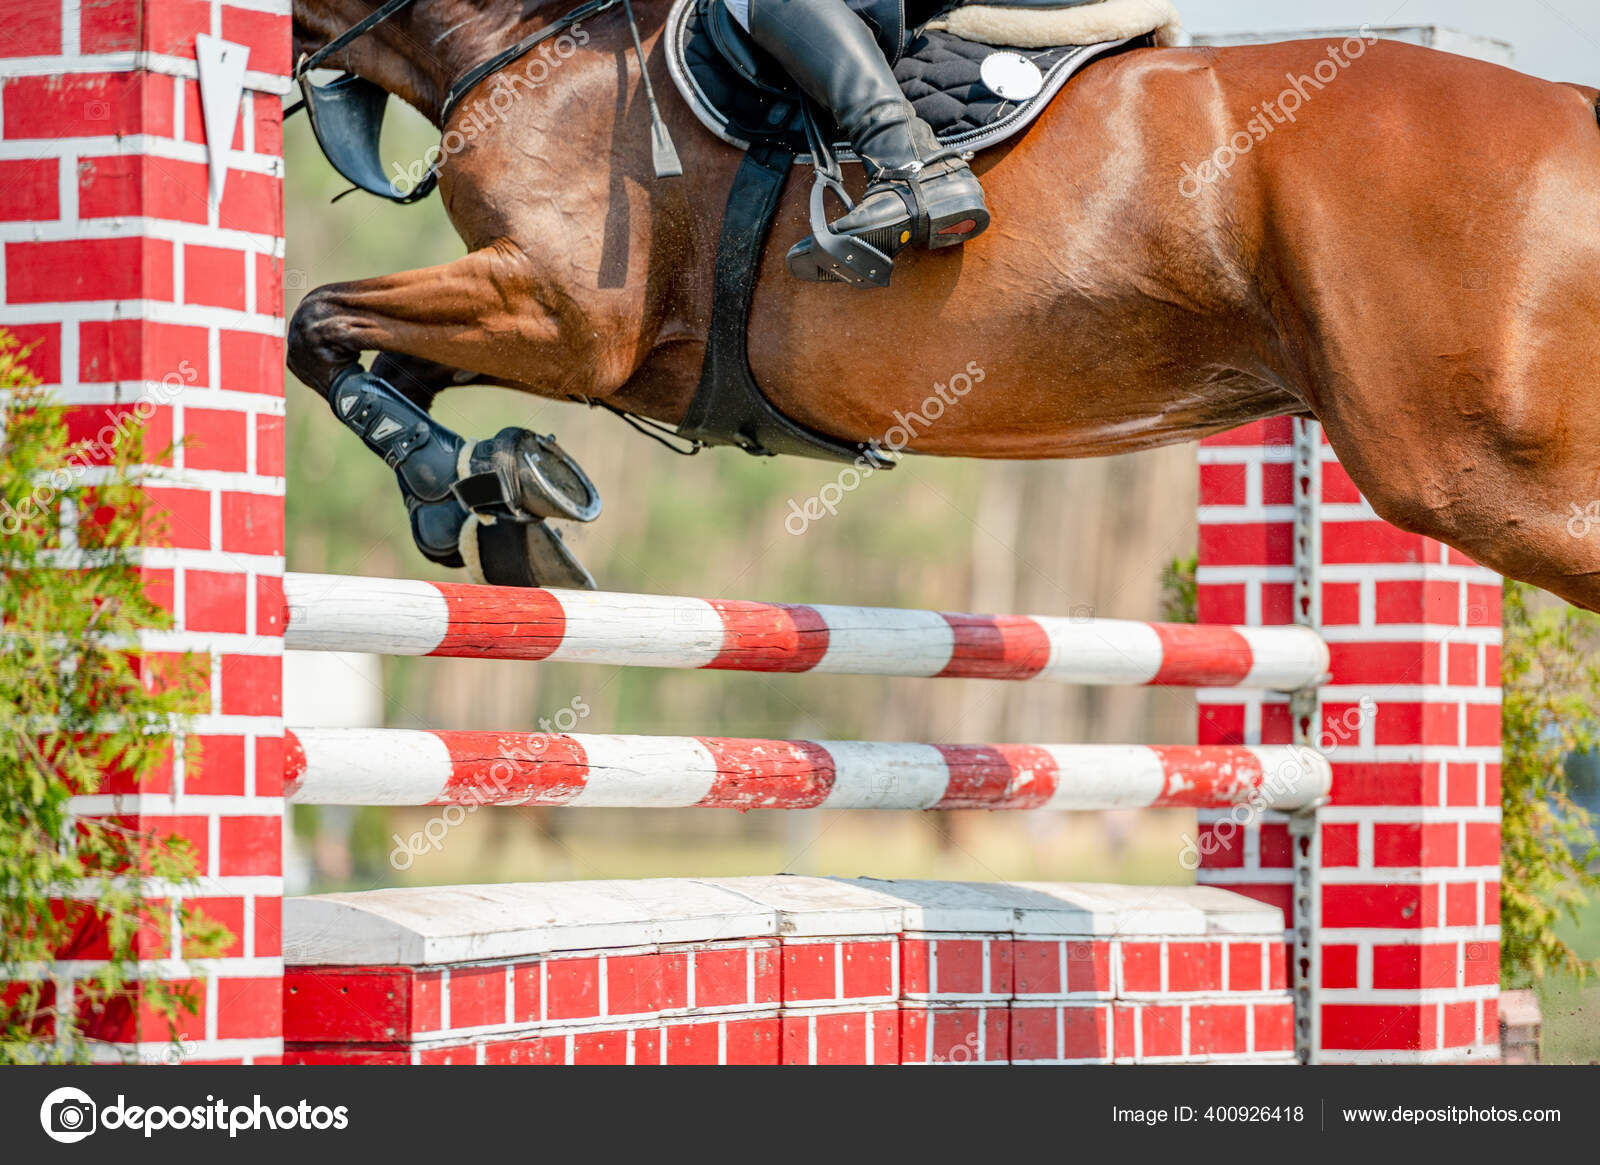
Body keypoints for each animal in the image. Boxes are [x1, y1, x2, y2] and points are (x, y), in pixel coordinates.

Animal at [288, 0, 1600, 614]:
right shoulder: (556, 325)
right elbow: (370, 353)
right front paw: (498, 485)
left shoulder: (562, 314)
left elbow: (315, 323)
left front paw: (469, 476)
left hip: (1464, 464)